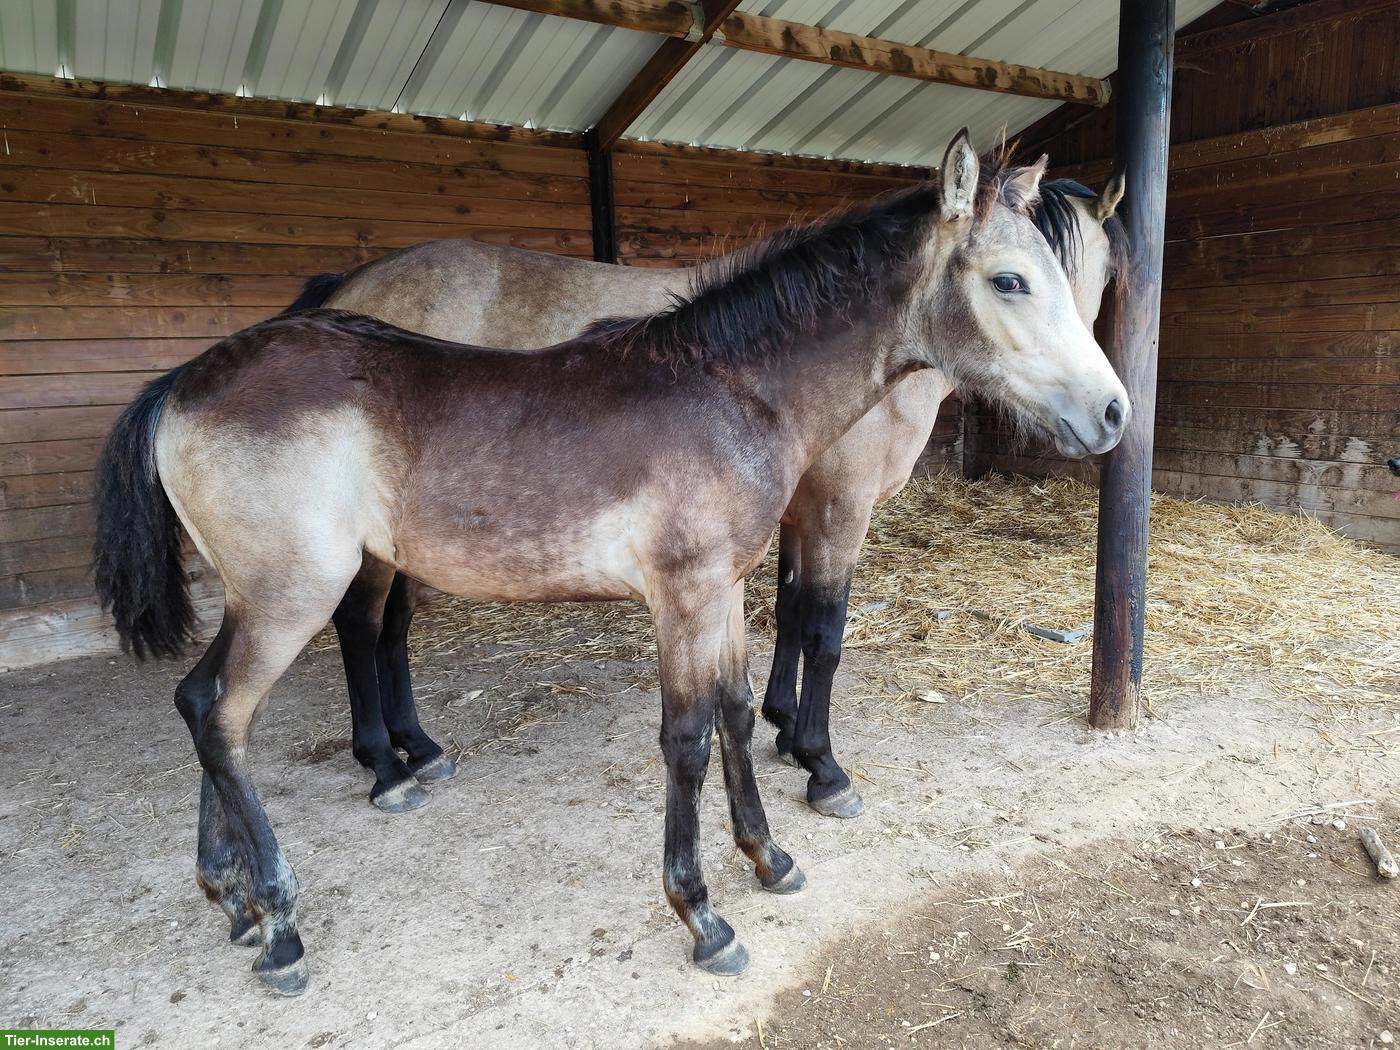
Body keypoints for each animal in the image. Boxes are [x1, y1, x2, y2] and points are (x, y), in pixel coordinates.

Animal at [286, 176, 1125, 819]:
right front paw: (822, 766)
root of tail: (347, 286)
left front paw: (783, 725)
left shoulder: (791, 511)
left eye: (1086, 276)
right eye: (1013, 280)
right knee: (365, 627)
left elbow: (786, 612)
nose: (1111, 410)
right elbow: (825, 630)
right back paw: (387, 765)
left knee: (388, 631)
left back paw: (417, 748)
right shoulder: (840, 506)